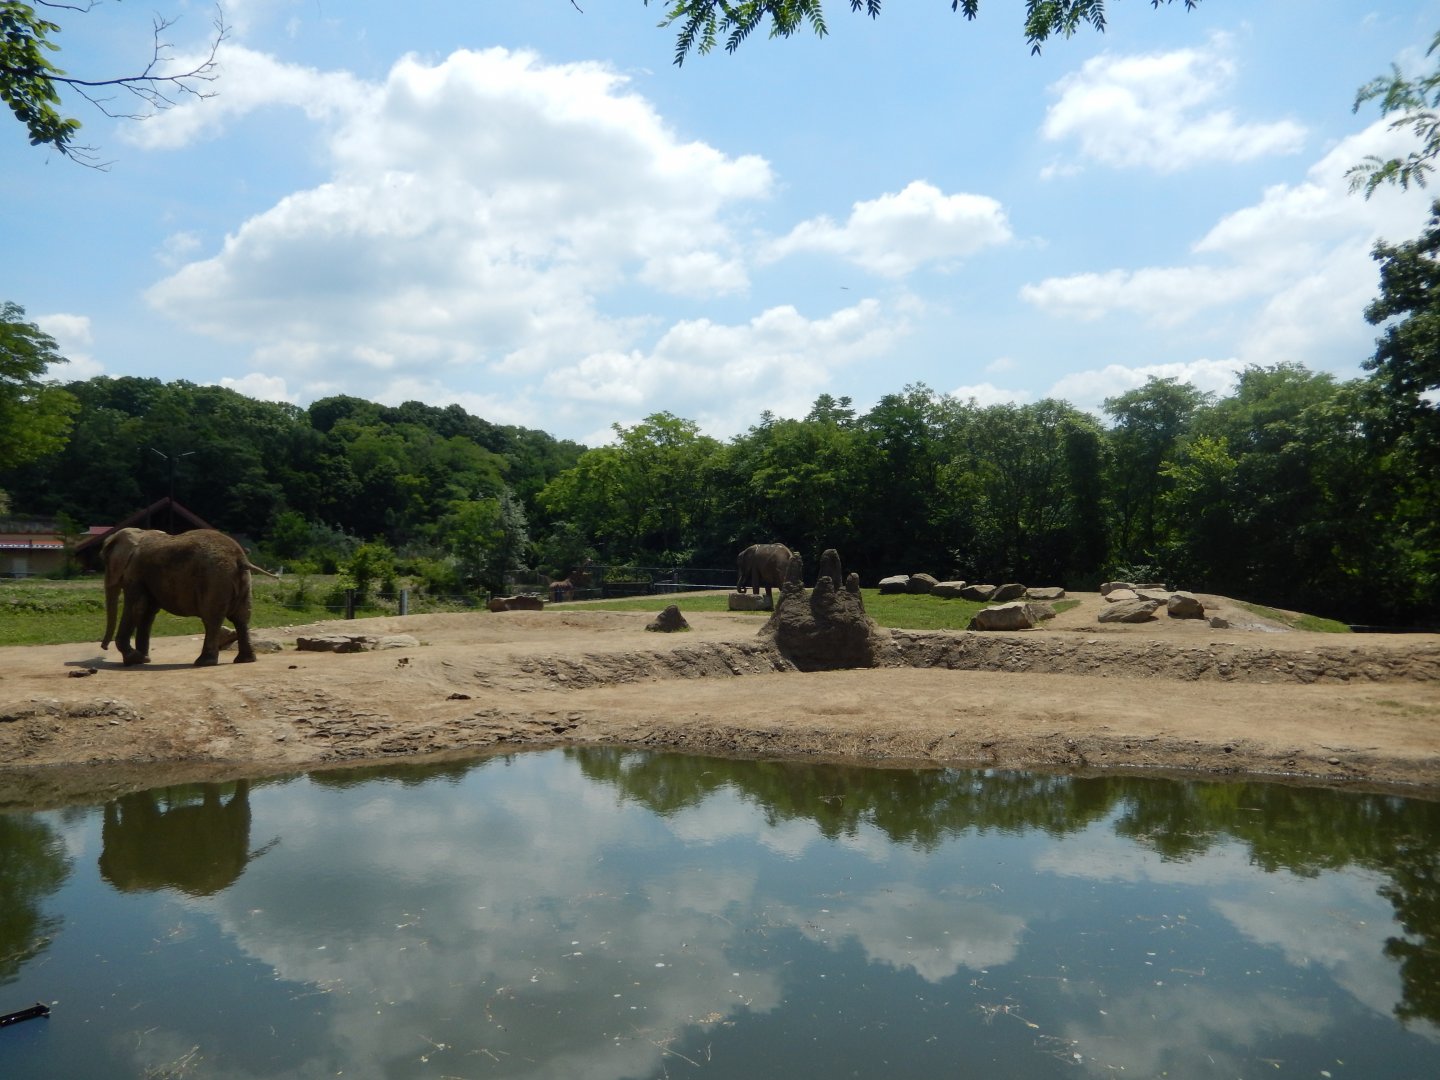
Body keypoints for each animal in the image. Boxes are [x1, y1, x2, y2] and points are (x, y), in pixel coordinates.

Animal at [100, 527, 259, 666]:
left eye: (105, 560)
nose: (104, 647)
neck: (138, 533)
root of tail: (240, 558)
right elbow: (148, 611)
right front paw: (142, 660)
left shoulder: (135, 571)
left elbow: (137, 606)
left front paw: (133, 659)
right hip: (241, 581)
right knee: (242, 618)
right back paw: (245, 660)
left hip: (215, 580)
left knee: (212, 619)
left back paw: (203, 662)